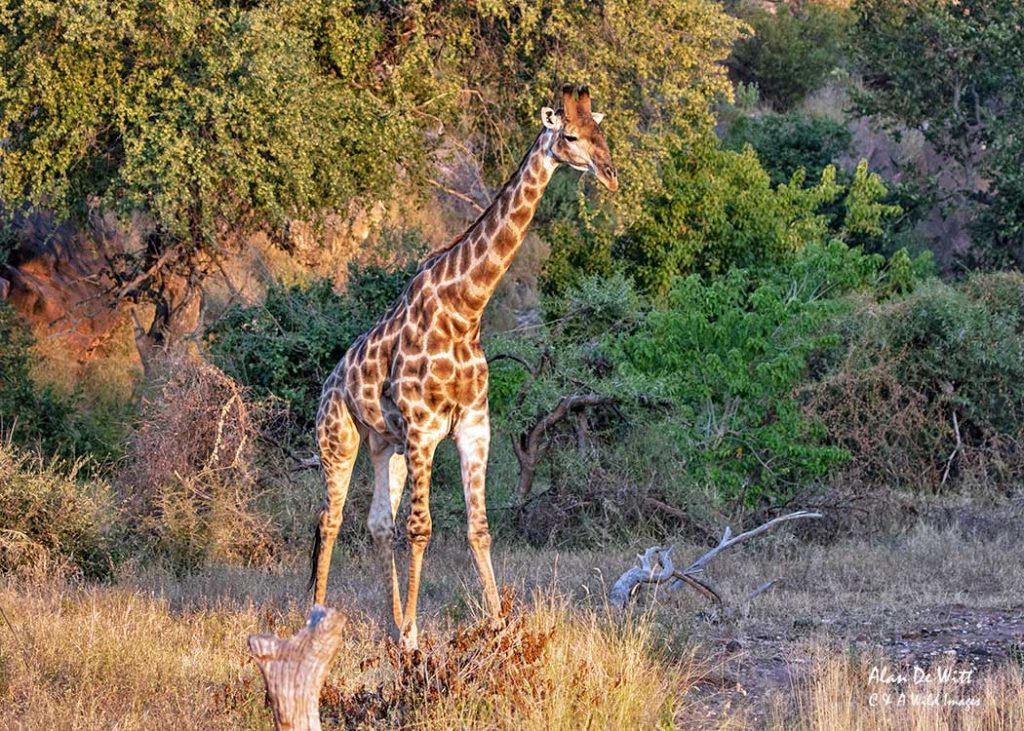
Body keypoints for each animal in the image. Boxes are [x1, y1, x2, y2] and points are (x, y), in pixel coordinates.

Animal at [311, 84, 618, 650]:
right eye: (569, 135)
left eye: (600, 132)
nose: (609, 174)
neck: (465, 309)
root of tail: (328, 384)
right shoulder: (424, 429)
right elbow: (423, 528)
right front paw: (414, 641)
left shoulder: (474, 426)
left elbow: (478, 527)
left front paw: (495, 629)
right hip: (338, 439)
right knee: (331, 519)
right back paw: (316, 617)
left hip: (384, 444)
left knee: (377, 524)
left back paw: (393, 621)